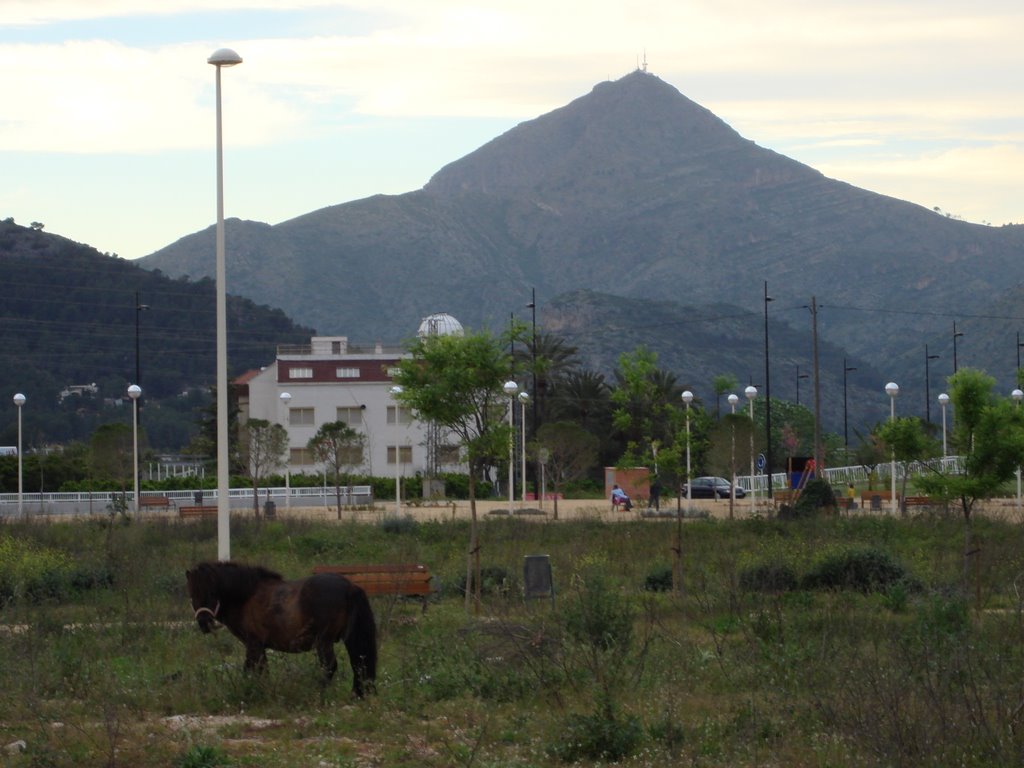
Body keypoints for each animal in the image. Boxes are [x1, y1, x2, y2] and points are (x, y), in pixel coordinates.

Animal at [185, 565, 376, 696]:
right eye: (192, 594)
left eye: (211, 593)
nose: (204, 623)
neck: (246, 596)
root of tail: (349, 586)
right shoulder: (259, 646)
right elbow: (263, 670)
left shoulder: (253, 644)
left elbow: (250, 670)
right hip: (349, 638)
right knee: (358, 663)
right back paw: (356, 694)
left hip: (324, 641)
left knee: (330, 666)